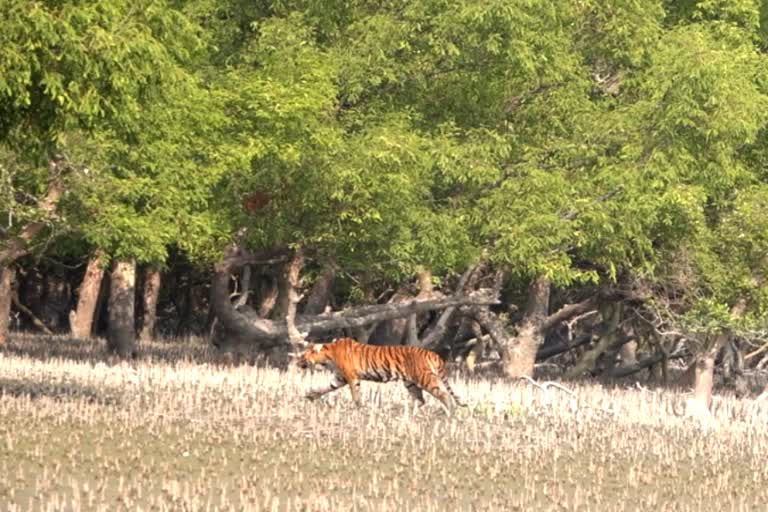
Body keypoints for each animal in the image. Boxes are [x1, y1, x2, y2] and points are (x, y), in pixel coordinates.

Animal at [296, 338, 464, 414]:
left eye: (302, 356)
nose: (297, 363)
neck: (328, 355)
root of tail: (433, 354)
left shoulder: (351, 377)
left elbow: (355, 394)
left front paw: (359, 408)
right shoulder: (340, 378)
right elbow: (325, 387)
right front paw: (310, 395)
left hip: (424, 378)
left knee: (443, 394)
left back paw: (451, 412)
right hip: (410, 382)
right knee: (420, 399)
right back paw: (404, 412)